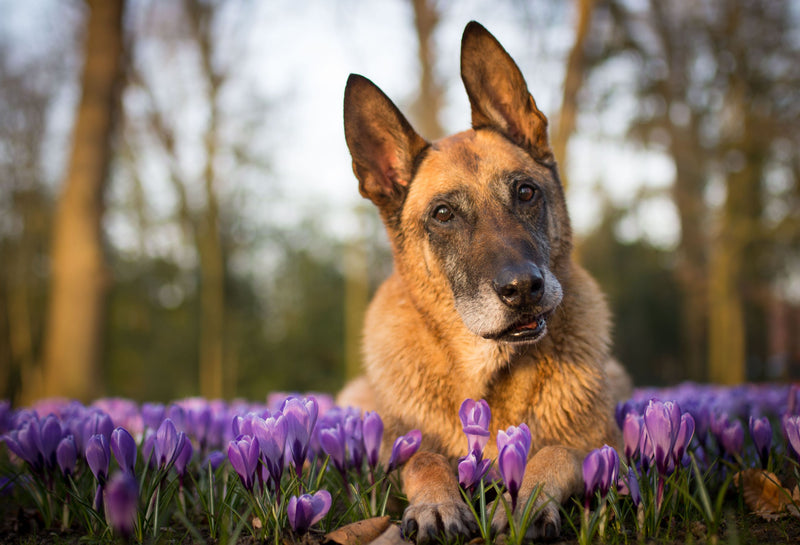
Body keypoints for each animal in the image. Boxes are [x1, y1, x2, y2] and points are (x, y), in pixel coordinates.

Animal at [334, 20, 628, 540]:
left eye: (526, 192)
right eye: (443, 214)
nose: (523, 289)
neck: (487, 371)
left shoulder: (607, 449)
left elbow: (555, 451)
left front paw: (523, 503)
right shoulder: (392, 449)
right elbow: (423, 457)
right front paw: (437, 502)